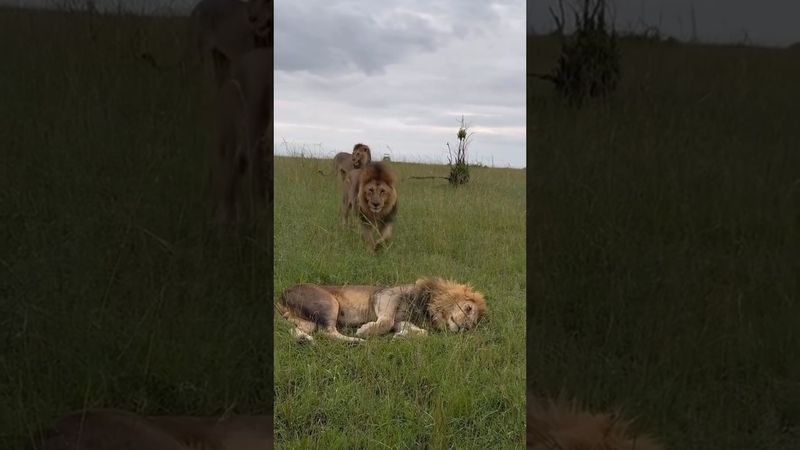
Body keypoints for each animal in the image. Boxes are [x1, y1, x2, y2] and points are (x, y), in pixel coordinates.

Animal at [277, 277, 488, 343]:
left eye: (472, 326)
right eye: (468, 308)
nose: (464, 328)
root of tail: (282, 295)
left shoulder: (402, 319)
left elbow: (422, 333)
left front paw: (401, 336)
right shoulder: (387, 295)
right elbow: (386, 321)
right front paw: (366, 330)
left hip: (306, 320)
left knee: (300, 329)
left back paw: (305, 339)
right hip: (328, 302)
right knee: (327, 331)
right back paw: (357, 341)